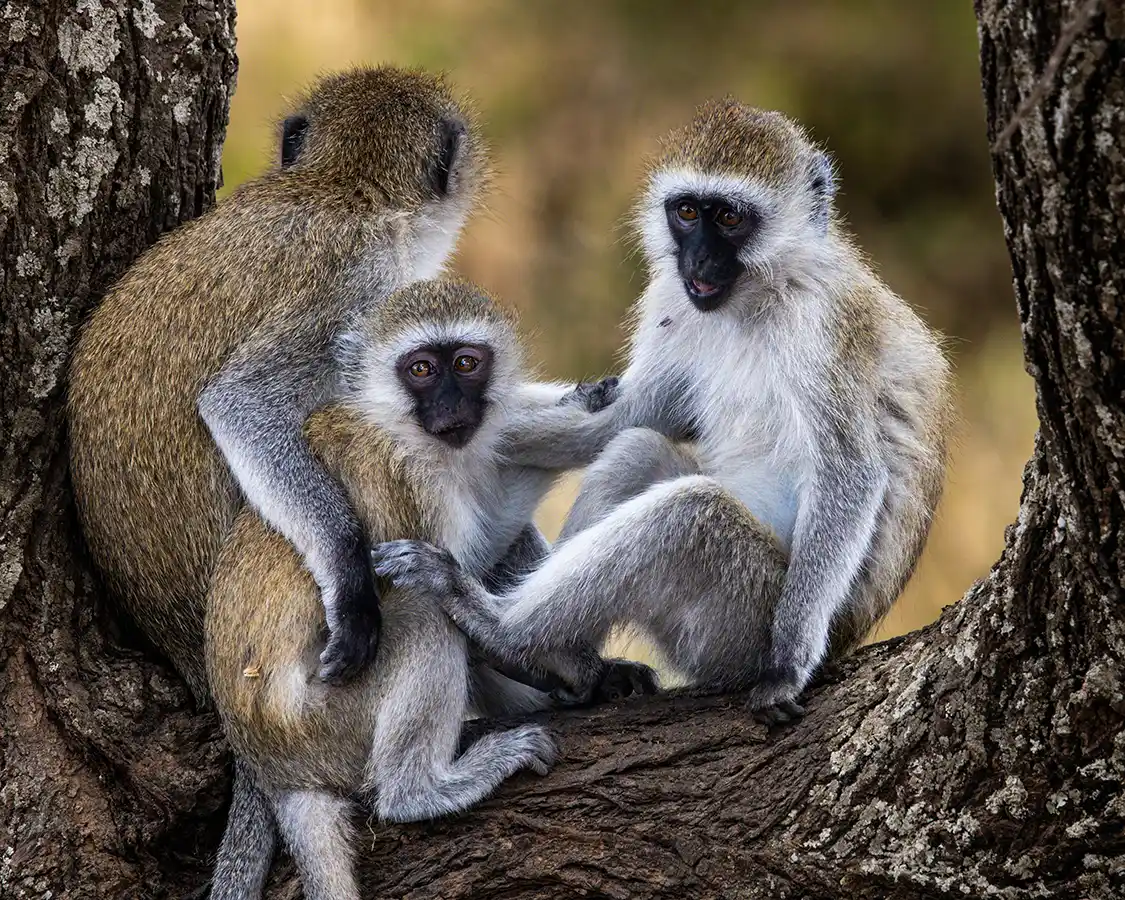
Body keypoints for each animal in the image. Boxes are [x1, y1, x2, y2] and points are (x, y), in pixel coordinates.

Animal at [205, 279, 656, 900]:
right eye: (421, 369)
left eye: (466, 364)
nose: (452, 408)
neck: (402, 429)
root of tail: (273, 768)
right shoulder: (408, 479)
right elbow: (461, 595)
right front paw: (584, 671)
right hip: (325, 721)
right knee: (422, 614)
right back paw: (419, 792)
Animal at [371, 99, 955, 723]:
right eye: (688, 212)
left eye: (729, 219)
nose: (697, 258)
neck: (759, 295)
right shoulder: (673, 298)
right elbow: (622, 419)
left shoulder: (826, 323)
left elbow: (850, 472)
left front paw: (788, 668)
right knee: (638, 448)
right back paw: (573, 663)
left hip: (739, 624)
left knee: (691, 512)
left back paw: (500, 627)